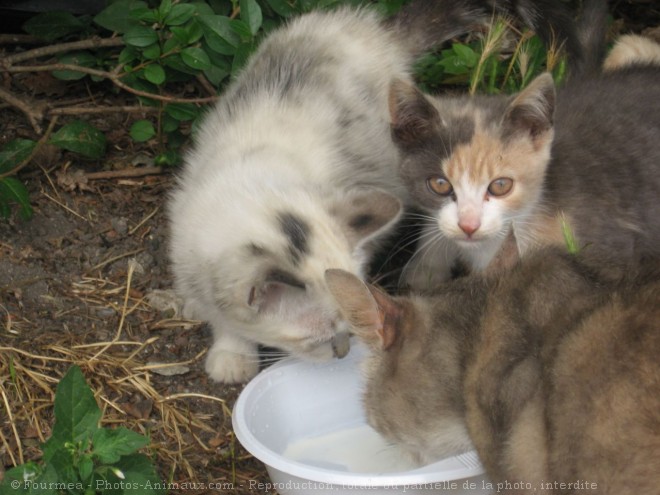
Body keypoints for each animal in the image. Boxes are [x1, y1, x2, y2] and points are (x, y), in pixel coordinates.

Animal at [166, 0, 592, 384]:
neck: (258, 190)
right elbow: (218, 307)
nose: (341, 352)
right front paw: (229, 346)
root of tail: (374, 30)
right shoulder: (186, 233)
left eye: (345, 330)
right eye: (315, 337)